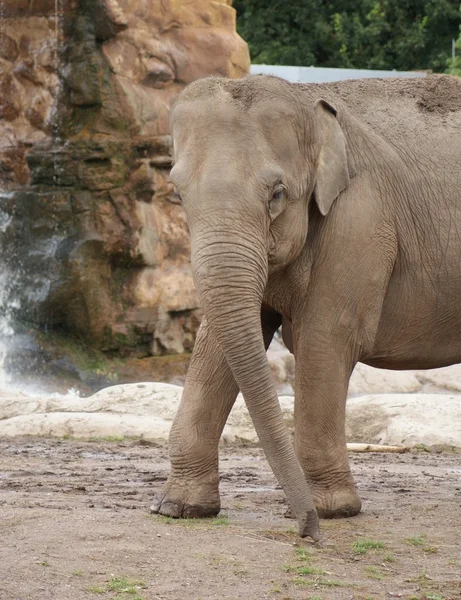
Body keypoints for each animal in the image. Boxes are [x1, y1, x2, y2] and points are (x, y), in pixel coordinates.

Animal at [153, 72, 460, 540]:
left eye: (277, 194)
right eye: (178, 193)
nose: (307, 535)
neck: (310, 103)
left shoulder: (361, 220)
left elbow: (325, 340)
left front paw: (331, 510)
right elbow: (218, 344)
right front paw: (178, 508)